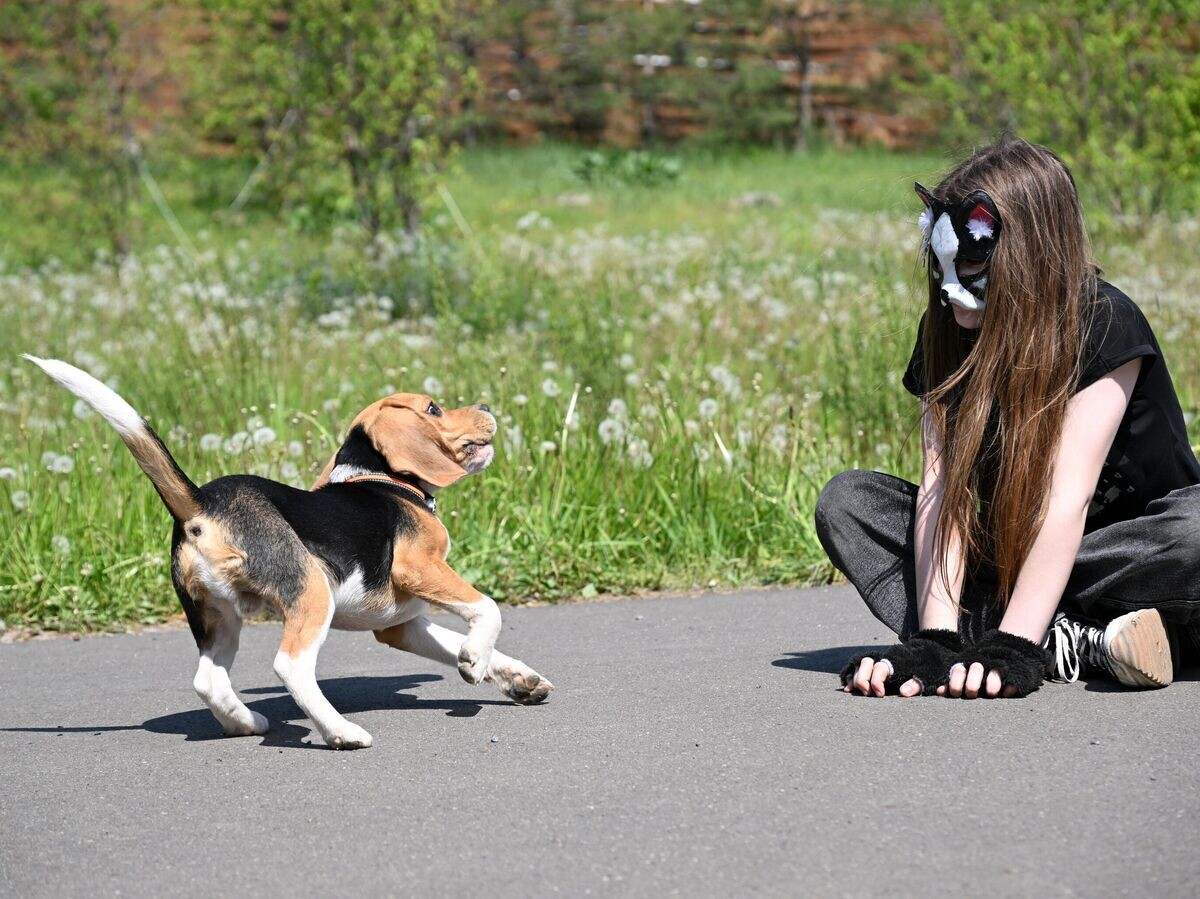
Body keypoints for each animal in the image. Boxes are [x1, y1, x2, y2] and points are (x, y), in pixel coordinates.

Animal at [27, 355, 552, 748]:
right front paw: (475, 660)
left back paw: (245, 723)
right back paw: (341, 732)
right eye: (435, 408)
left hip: (217, 616)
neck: (381, 478)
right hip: (311, 589)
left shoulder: (400, 624)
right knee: (291, 666)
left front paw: (516, 678)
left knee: (207, 679)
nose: (486, 403)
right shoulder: (420, 568)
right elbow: (488, 609)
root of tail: (201, 503)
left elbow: (457, 640)